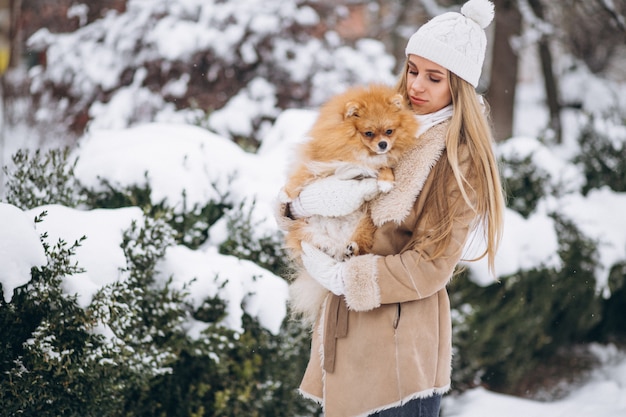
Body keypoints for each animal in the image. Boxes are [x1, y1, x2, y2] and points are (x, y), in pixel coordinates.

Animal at [282, 83, 420, 262]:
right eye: (369, 133)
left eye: (389, 131)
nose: (383, 144)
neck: (358, 149)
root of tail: (338, 239)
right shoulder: (322, 160)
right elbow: (302, 174)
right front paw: (286, 193)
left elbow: (384, 166)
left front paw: (386, 181)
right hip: (307, 227)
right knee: (314, 238)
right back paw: (327, 246)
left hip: (363, 224)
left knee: (356, 246)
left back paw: (349, 249)